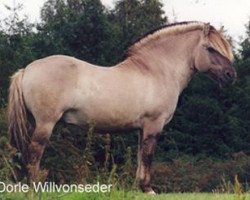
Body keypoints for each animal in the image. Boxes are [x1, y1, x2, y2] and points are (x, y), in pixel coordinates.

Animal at [6, 21, 235, 194]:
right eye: (210, 48)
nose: (230, 75)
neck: (156, 70)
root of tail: (26, 70)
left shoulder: (142, 129)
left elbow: (140, 157)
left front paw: (138, 188)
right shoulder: (154, 125)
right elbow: (148, 156)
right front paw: (148, 189)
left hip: (32, 122)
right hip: (45, 123)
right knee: (35, 152)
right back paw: (35, 188)